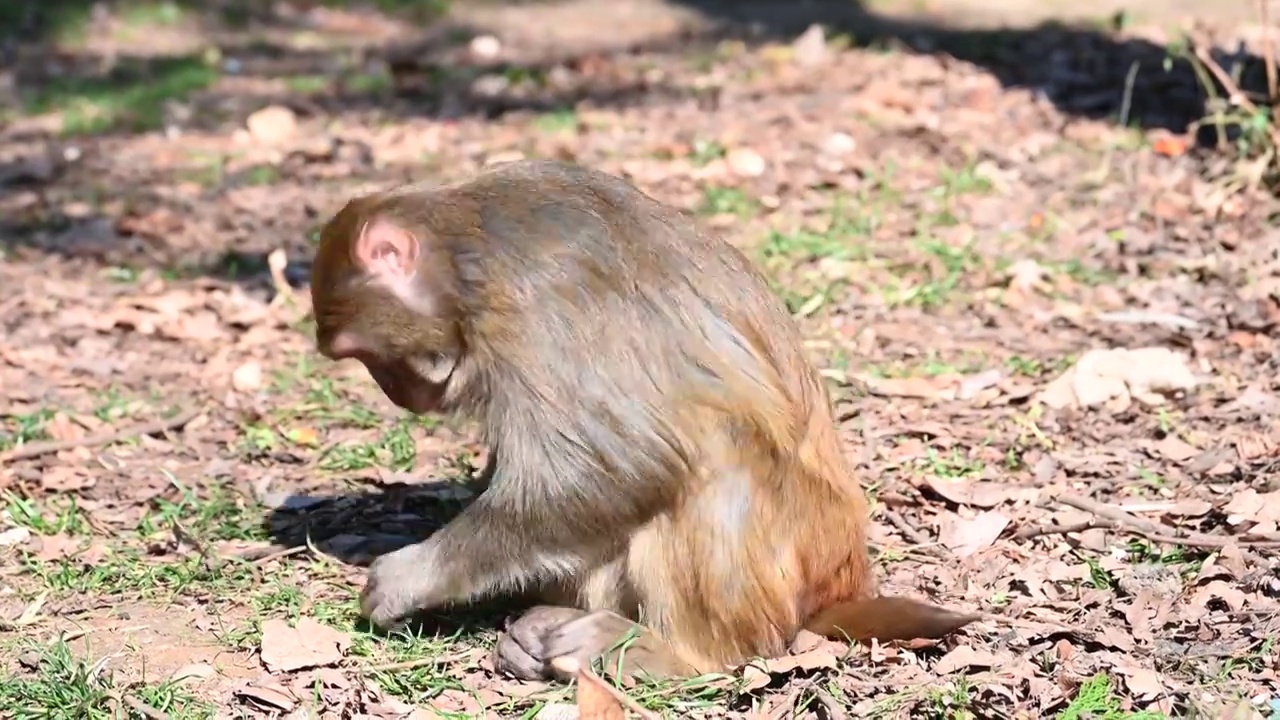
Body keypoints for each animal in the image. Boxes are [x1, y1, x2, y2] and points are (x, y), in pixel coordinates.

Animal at [309, 158, 977, 676]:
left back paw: (677, 655)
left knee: (711, 474)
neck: (469, 258)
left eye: (366, 355)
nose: (397, 392)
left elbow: (623, 466)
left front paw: (413, 575)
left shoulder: (537, 308)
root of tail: (841, 582)